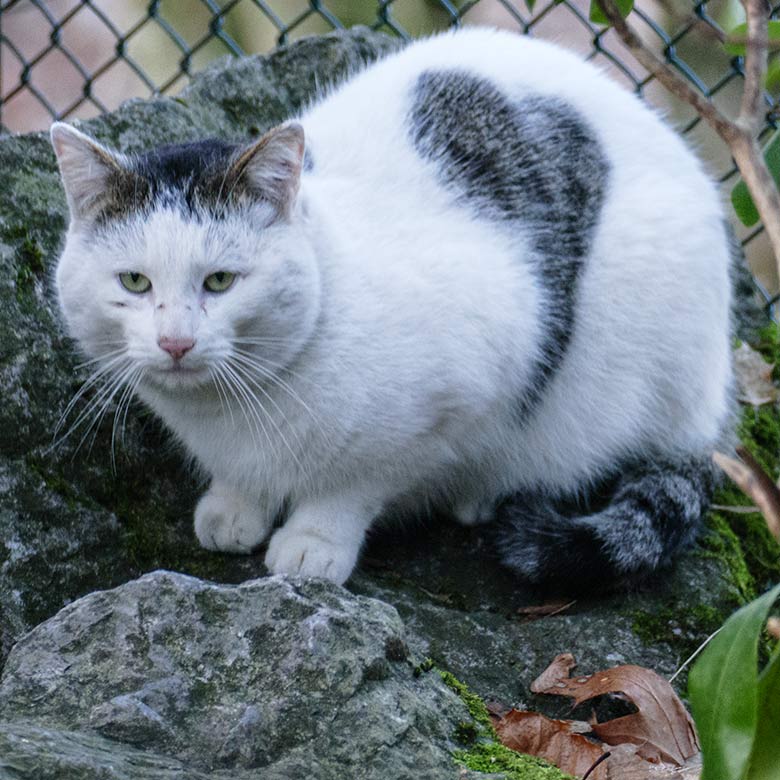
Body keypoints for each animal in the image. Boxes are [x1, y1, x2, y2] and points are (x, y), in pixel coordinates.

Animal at [51, 29, 736, 592]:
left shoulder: (460, 391)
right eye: (135, 281)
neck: (234, 411)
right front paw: (235, 506)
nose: (175, 341)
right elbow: (243, 480)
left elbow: (354, 485)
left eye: (220, 281)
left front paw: (313, 542)